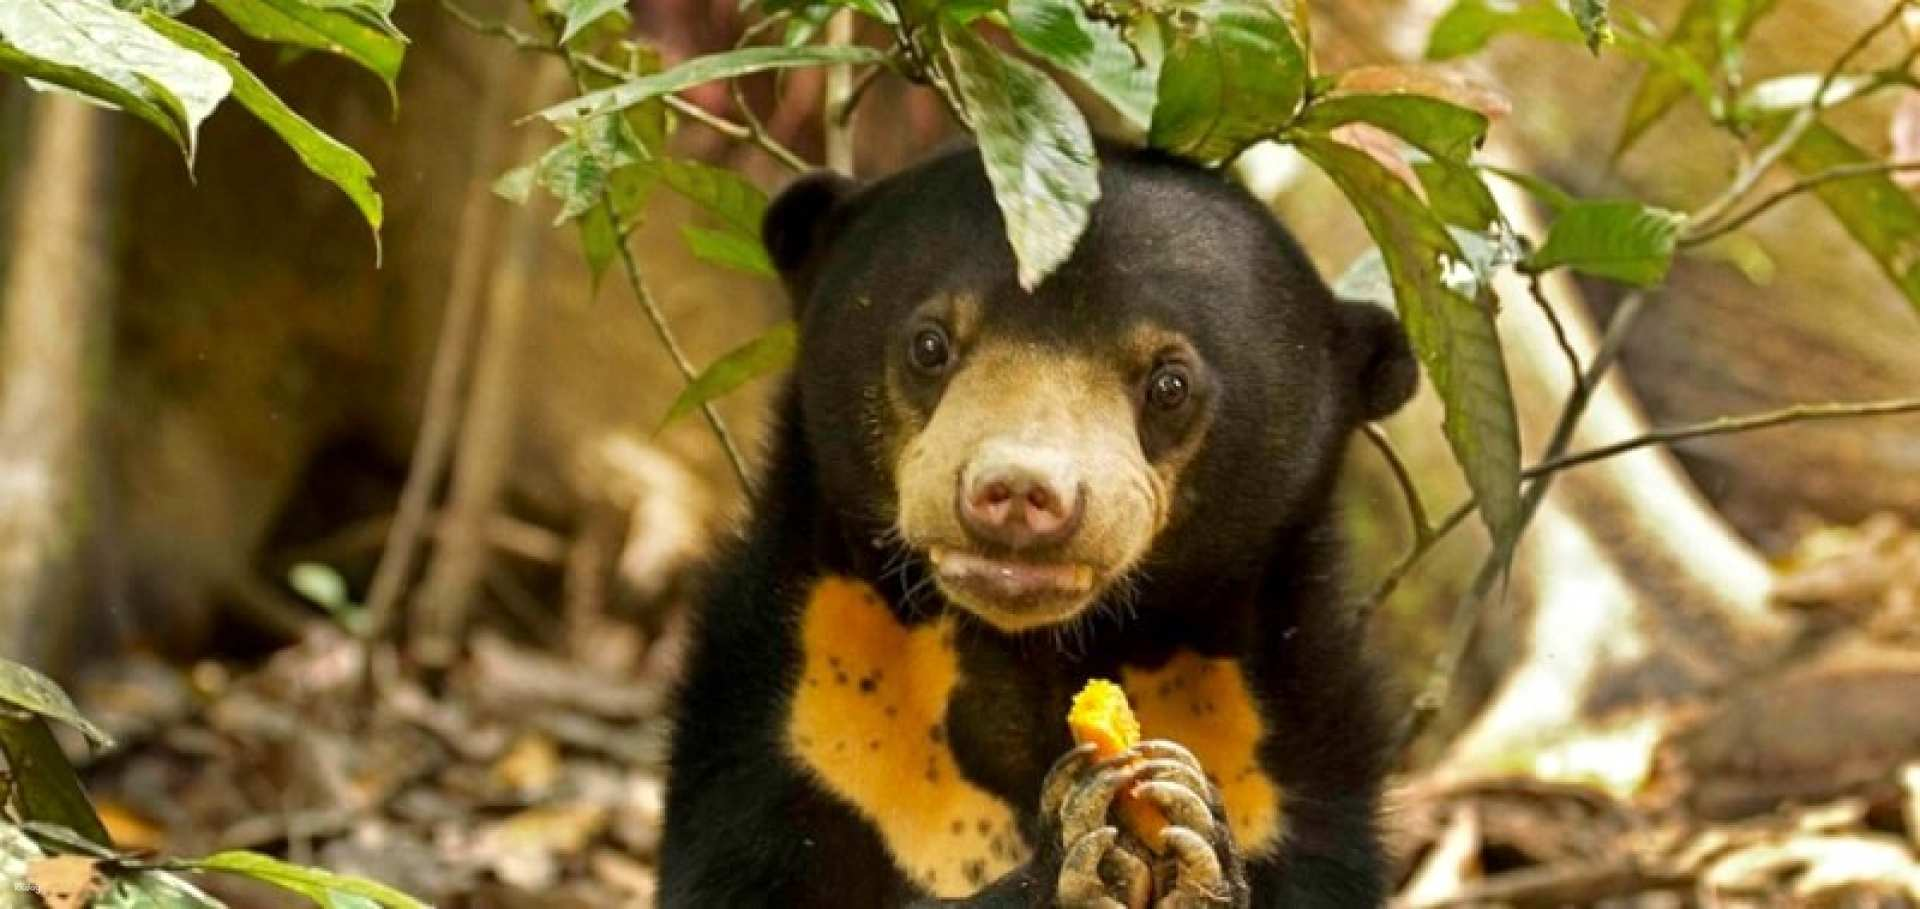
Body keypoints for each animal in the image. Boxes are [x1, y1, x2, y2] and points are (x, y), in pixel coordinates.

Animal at [658, 143, 1420, 907]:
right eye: (929, 345)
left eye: (1170, 384)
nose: (1020, 491)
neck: (1031, 652)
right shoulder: (806, 713)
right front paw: (1079, 857)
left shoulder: (1281, 764)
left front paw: (1194, 847)